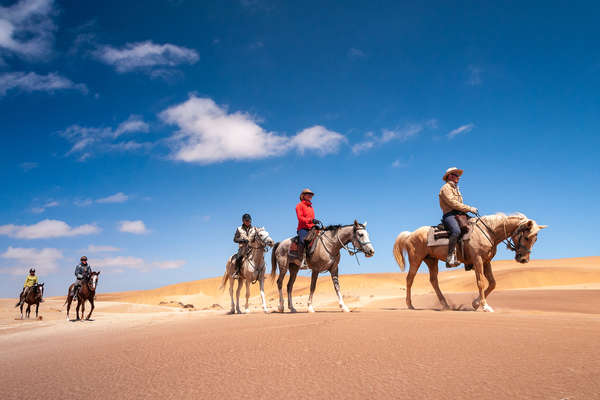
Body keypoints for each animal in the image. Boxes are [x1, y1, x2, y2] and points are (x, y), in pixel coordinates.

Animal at [394, 212, 548, 312]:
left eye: (536, 239)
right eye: (527, 237)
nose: (524, 259)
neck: (489, 231)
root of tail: (410, 235)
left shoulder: (486, 261)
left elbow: (492, 283)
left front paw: (475, 304)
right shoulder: (478, 260)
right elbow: (481, 282)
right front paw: (484, 306)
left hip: (431, 260)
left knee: (433, 281)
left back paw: (445, 305)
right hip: (416, 259)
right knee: (409, 279)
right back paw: (410, 305)